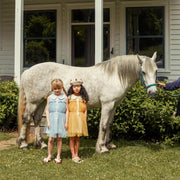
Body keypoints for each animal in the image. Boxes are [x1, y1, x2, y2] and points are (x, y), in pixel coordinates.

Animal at [16, 52, 158, 153]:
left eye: (156, 71)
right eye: (143, 72)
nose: (153, 93)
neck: (115, 76)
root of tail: (27, 71)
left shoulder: (114, 106)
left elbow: (110, 124)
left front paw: (109, 144)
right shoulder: (107, 104)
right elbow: (103, 125)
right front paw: (102, 148)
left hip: (41, 101)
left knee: (37, 119)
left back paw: (42, 144)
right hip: (33, 102)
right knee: (26, 118)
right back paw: (23, 144)